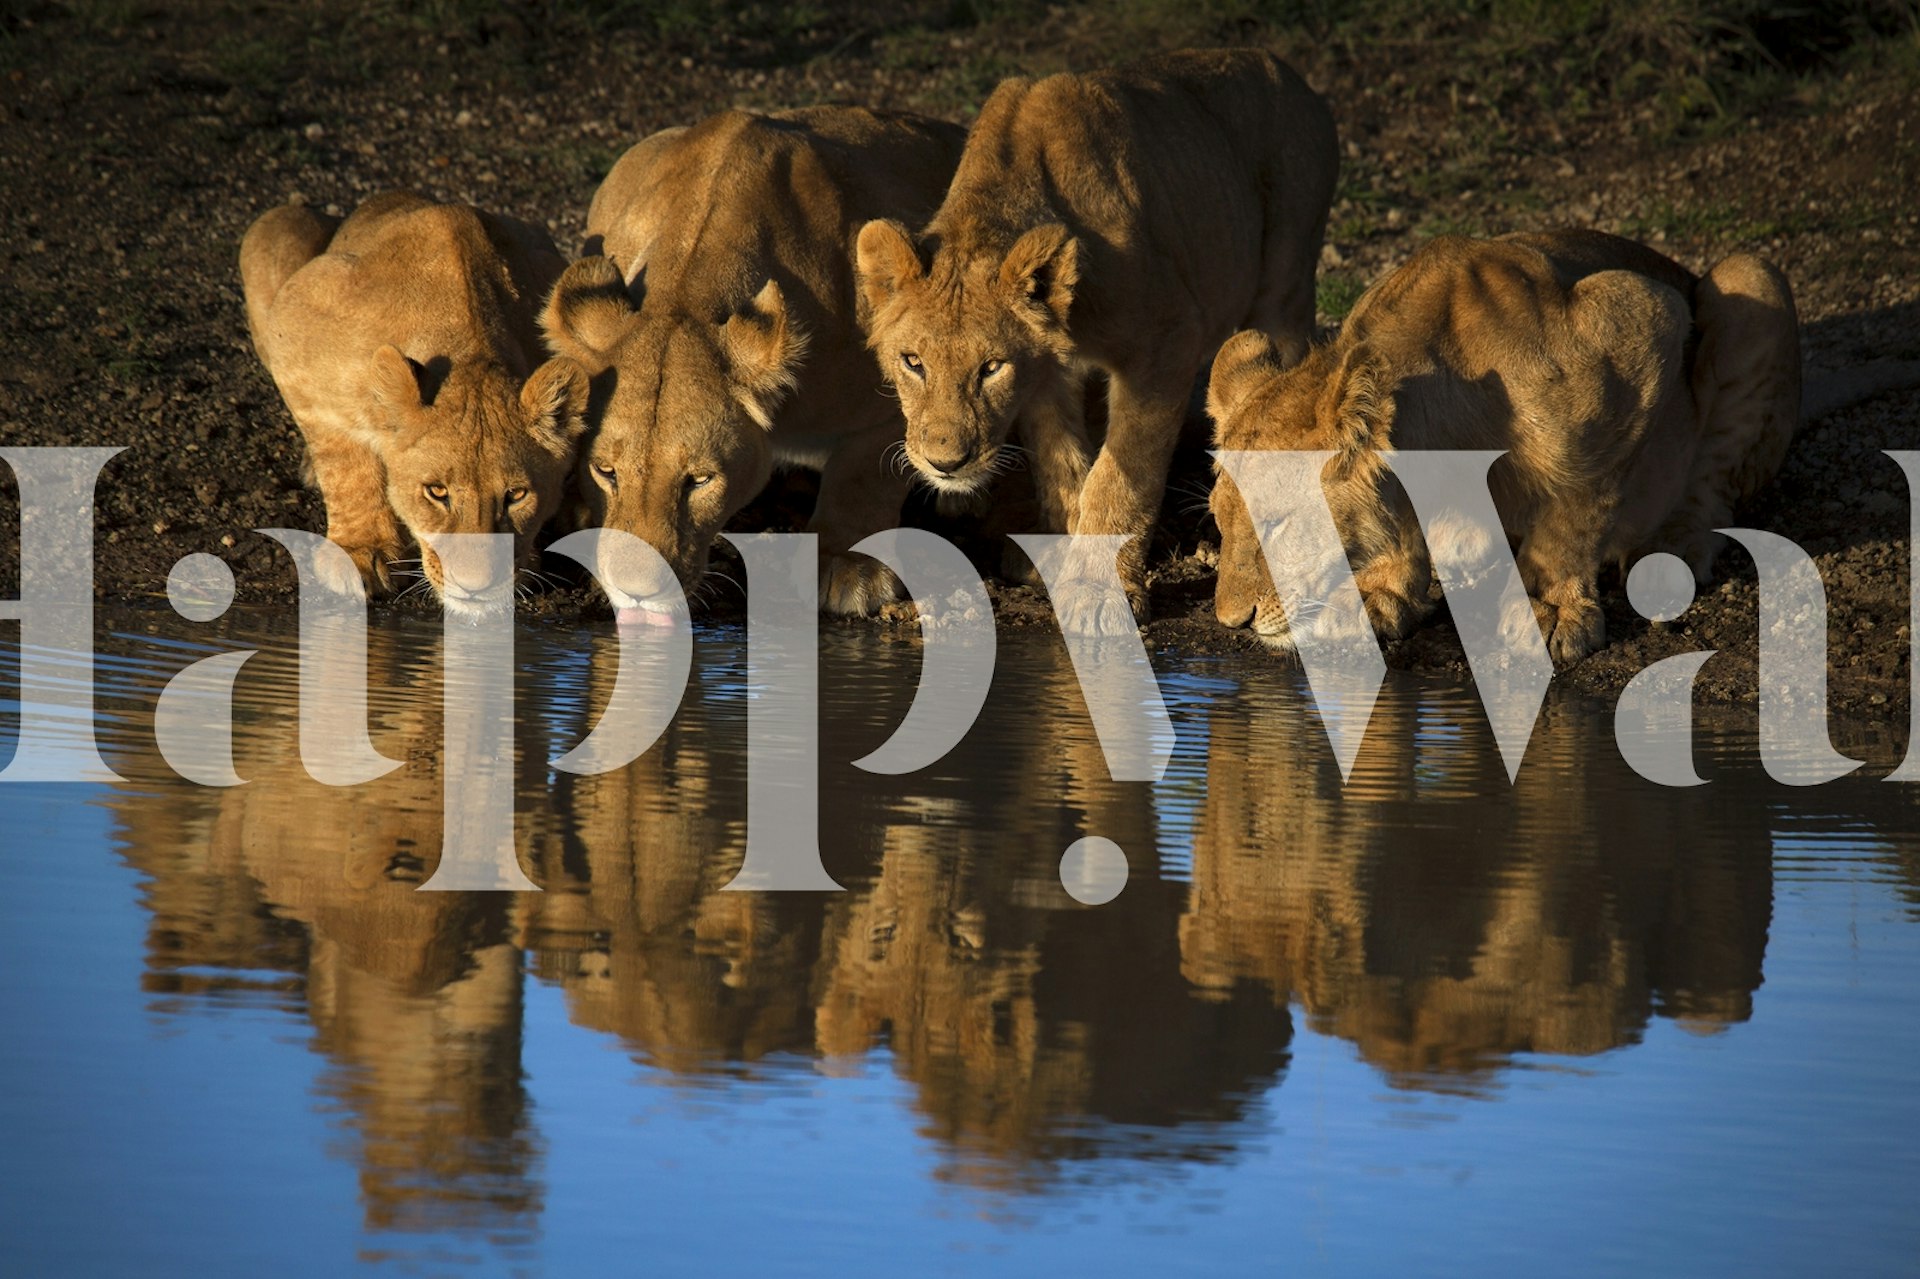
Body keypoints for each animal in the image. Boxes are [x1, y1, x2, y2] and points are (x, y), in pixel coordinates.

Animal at [241, 191, 589, 614]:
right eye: (436, 492)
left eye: (516, 495)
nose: (475, 589)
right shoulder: (295, 326)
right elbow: (344, 460)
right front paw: (361, 551)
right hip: (273, 227)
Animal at [540, 107, 967, 622]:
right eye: (605, 471)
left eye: (700, 480)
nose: (636, 593)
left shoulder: (895, 391)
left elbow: (864, 476)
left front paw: (850, 568)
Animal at [854, 48, 1338, 634]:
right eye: (913, 362)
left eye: (991, 367)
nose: (946, 463)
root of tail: (1289, 72)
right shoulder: (1046, 376)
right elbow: (1065, 471)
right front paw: (1065, 562)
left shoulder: (1167, 339)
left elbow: (1120, 473)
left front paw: (1098, 592)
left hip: (1286, 279)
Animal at [1206, 229, 1802, 665]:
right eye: (1218, 520)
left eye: (1276, 523)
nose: (1231, 622)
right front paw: (1379, 591)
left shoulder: (1642, 320)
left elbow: (1579, 506)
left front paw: (1553, 607)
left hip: (1751, 279)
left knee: (1713, 484)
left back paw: (1670, 550)